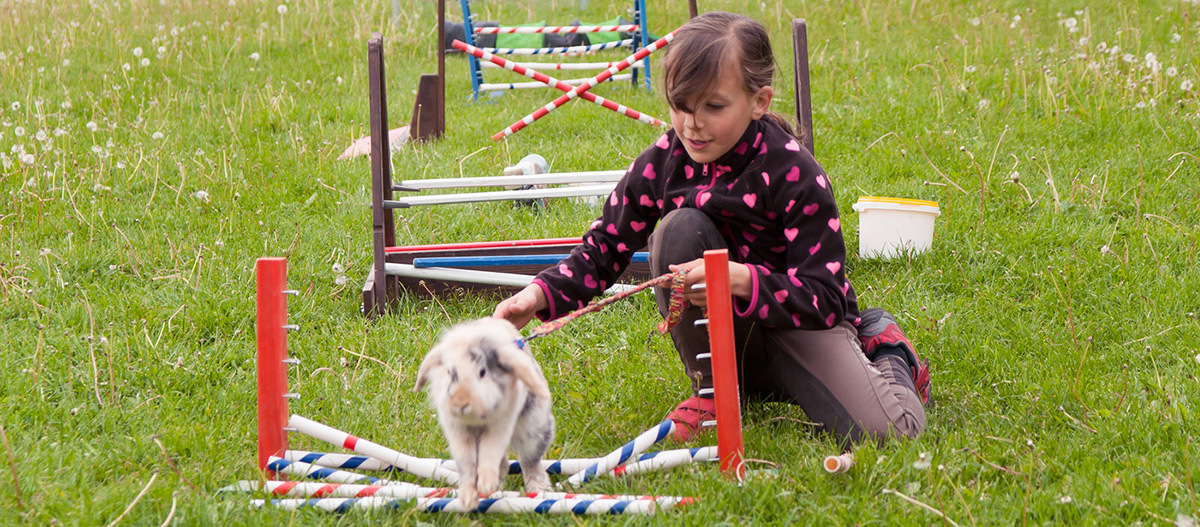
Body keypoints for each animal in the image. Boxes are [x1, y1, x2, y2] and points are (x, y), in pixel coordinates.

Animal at [414, 317, 555, 510]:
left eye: (482, 372)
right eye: (449, 372)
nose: (460, 402)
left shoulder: (499, 428)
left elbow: (489, 454)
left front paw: (486, 485)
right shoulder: (458, 434)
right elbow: (466, 465)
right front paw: (468, 500)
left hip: (533, 431)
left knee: (530, 462)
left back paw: (539, 490)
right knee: (505, 463)